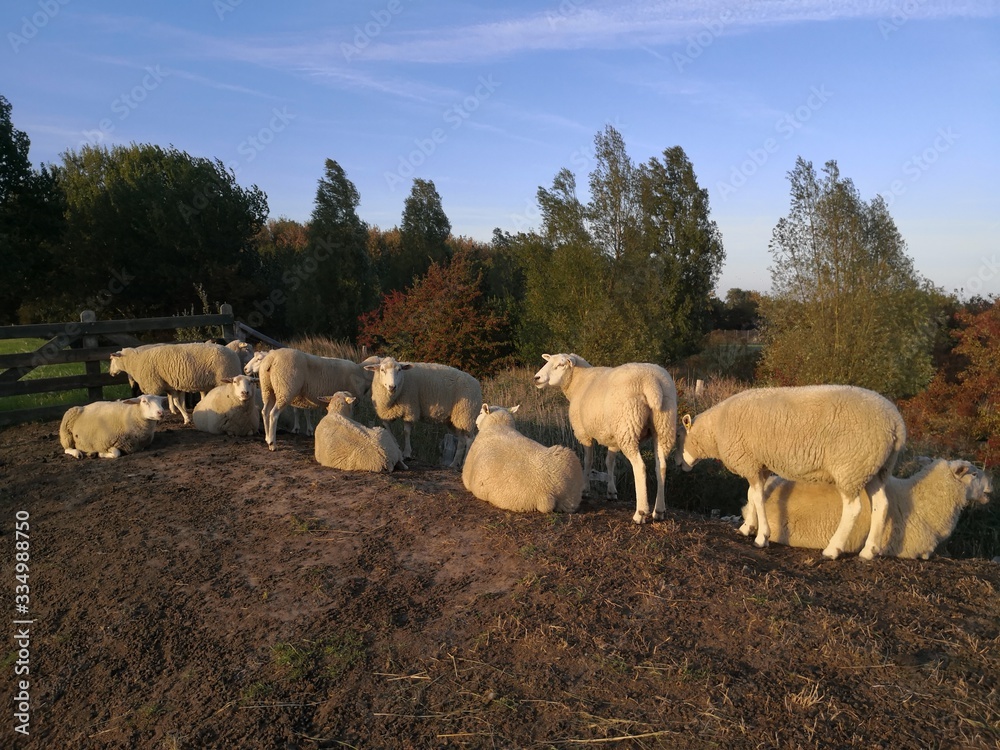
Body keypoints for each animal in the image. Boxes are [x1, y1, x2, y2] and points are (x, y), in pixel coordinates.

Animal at [109, 343, 242, 424]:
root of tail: (234, 355)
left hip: (224, 376)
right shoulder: (171, 386)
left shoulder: (153, 386)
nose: (110, 373)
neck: (135, 362)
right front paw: (186, 418)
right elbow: (176, 402)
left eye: (112, 359)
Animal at [532, 353, 677, 524]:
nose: (537, 378)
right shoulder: (612, 437)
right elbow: (610, 462)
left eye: (560, 365)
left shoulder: (584, 433)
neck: (578, 381)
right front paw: (611, 491)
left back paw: (640, 513)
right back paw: (659, 511)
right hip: (662, 427)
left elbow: (588, 460)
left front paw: (585, 489)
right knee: (661, 466)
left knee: (640, 467)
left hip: (628, 427)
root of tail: (652, 381)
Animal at [677, 384, 907, 560]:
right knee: (881, 504)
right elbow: (752, 495)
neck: (715, 430)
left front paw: (762, 537)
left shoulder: (749, 461)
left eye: (679, 436)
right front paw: (747, 527)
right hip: (876, 468)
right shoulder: (760, 464)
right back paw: (869, 551)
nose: (678, 465)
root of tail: (896, 424)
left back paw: (832, 549)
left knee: (853, 508)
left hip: (850, 466)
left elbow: (757, 498)